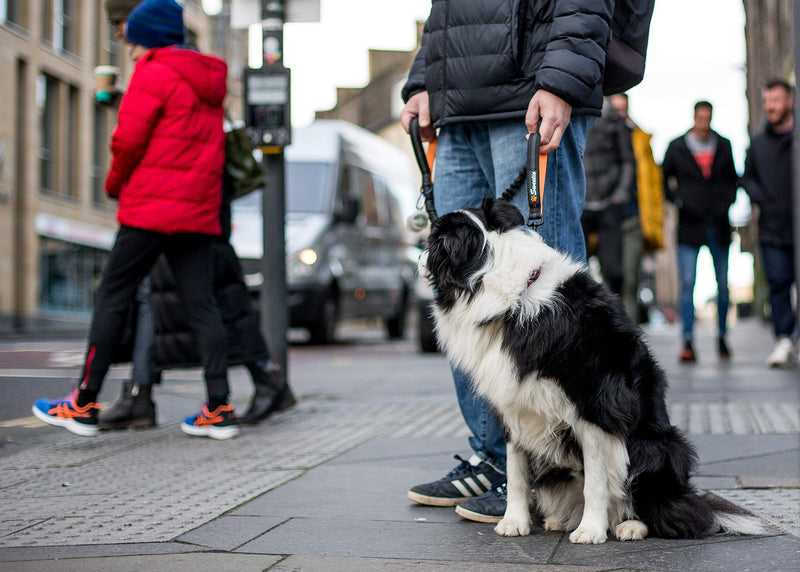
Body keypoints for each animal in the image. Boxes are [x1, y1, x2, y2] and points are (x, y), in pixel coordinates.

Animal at [418, 199, 764, 544]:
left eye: (435, 239)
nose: (419, 252)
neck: (511, 294)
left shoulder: (596, 406)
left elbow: (596, 481)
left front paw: (591, 530)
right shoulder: (513, 403)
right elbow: (516, 472)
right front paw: (514, 522)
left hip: (656, 447)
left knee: (658, 507)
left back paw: (629, 526)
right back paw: (560, 521)